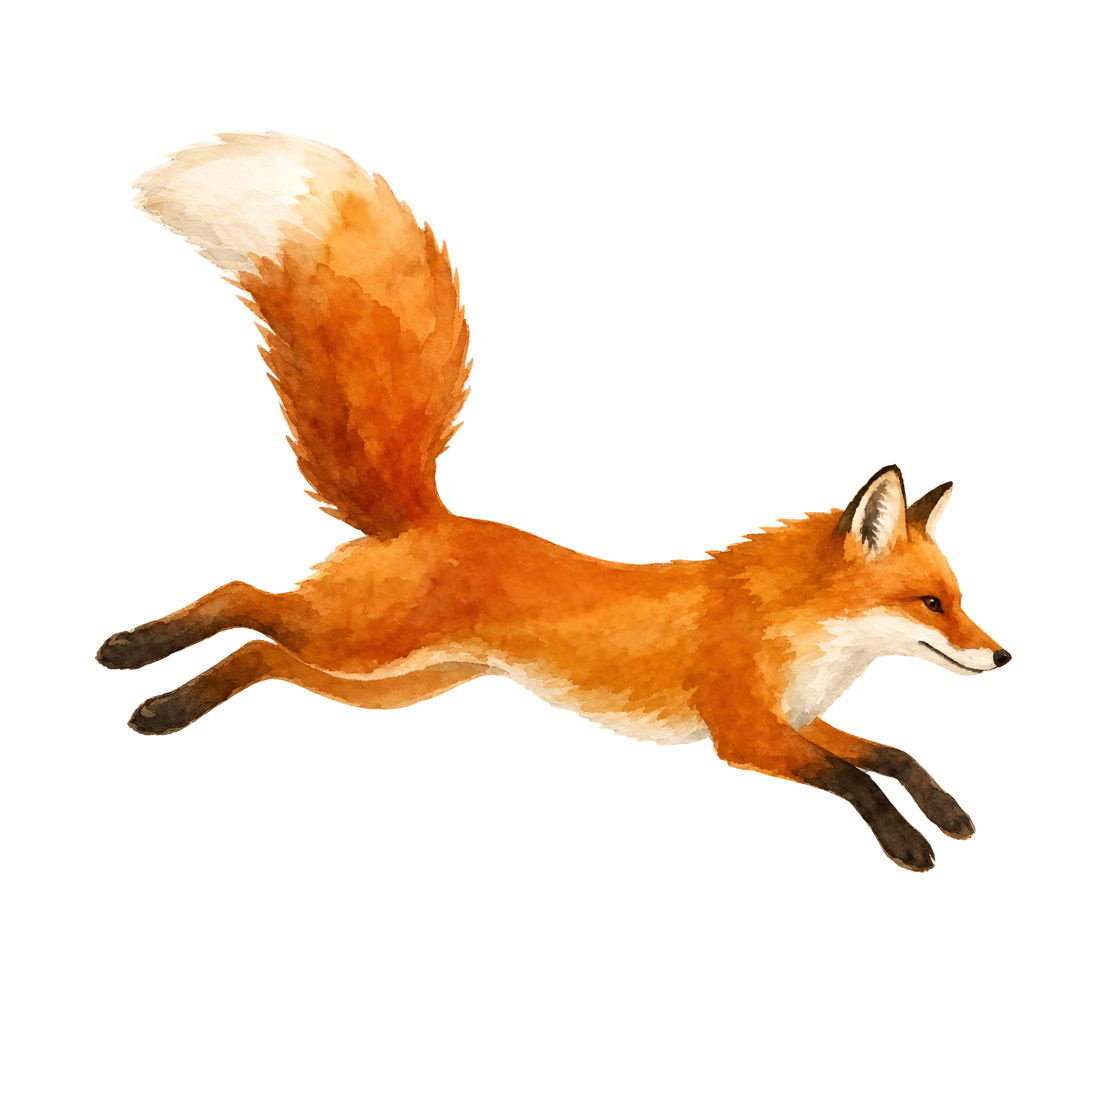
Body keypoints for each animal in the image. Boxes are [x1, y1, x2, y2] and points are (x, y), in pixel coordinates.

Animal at [98, 129, 1012, 871]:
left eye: (958, 598)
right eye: (931, 602)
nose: (1002, 657)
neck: (801, 635)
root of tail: (427, 515)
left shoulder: (798, 721)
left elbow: (889, 753)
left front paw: (945, 811)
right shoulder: (746, 733)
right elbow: (847, 779)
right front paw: (905, 842)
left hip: (390, 681)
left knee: (262, 654)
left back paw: (174, 702)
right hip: (359, 642)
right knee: (243, 595)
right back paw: (137, 656)